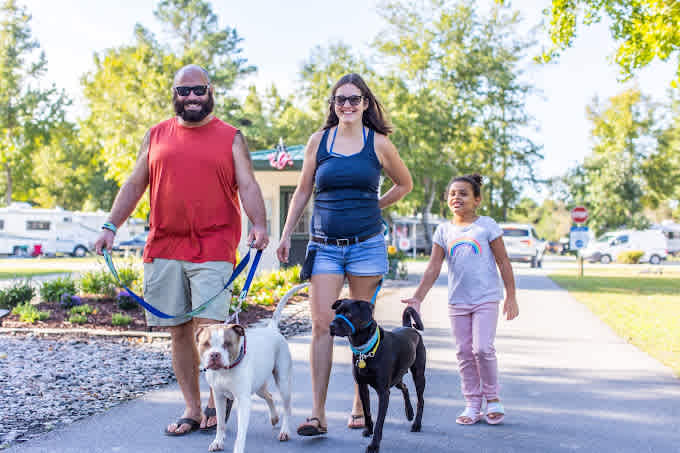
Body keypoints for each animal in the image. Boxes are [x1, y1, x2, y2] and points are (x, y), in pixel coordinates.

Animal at [194, 280, 306, 450]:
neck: (224, 371)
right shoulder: (219, 397)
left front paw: (238, 448)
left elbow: (241, 432)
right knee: (269, 395)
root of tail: (271, 329)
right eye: (206, 344)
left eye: (227, 344)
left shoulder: (243, 401)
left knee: (287, 407)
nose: (215, 355)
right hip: (258, 385)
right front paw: (218, 441)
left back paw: (285, 431)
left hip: (283, 382)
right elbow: (220, 423)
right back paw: (274, 418)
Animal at [330, 298, 424, 450]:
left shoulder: (383, 393)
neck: (366, 350)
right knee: (404, 387)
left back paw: (416, 424)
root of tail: (409, 327)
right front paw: (368, 430)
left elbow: (380, 421)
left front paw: (374, 445)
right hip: (397, 378)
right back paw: (409, 412)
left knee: (421, 400)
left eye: (349, 313)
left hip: (419, 375)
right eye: (336, 312)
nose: (331, 326)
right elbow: (367, 412)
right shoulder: (362, 387)